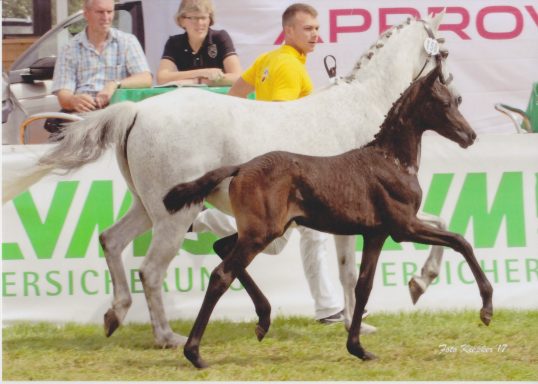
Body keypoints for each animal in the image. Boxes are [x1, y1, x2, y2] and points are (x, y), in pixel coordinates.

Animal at [162, 63, 490, 368]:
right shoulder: (404, 227)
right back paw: (194, 353)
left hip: (266, 231)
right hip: (262, 233)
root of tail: (241, 167)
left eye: (458, 100)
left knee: (222, 247)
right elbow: (460, 241)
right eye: (445, 103)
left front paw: (358, 348)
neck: (391, 161)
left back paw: (263, 320)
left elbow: (363, 285)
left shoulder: (376, 234)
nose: (471, 135)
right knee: (221, 275)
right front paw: (485, 308)